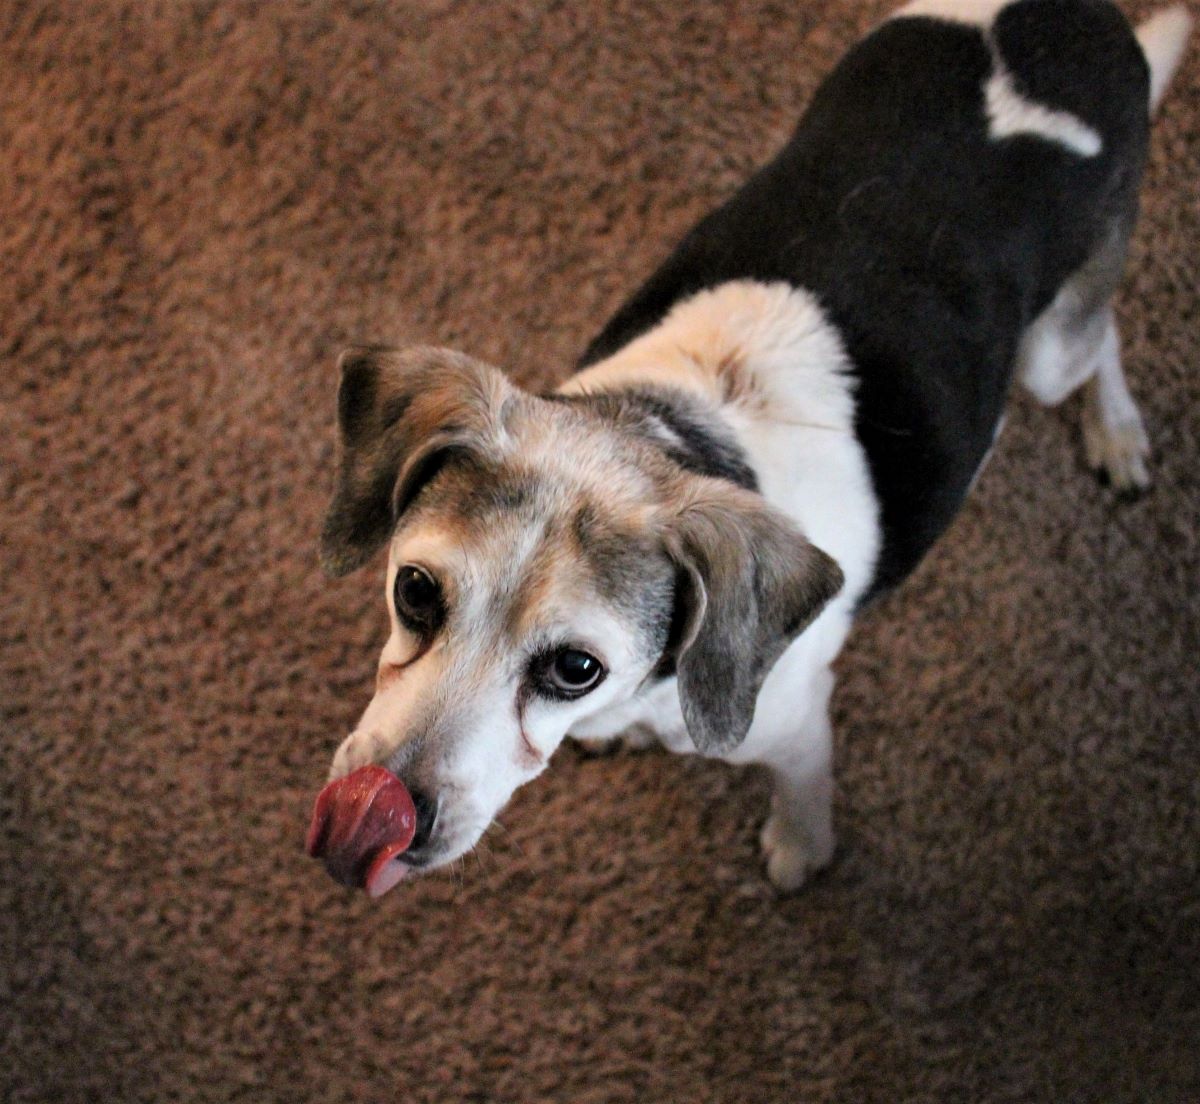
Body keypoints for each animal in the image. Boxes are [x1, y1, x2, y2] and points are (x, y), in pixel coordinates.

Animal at [309, 0, 1190, 892]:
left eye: (575, 668)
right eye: (415, 591)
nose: (373, 814)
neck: (674, 426)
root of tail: (1076, 16)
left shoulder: (795, 726)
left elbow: (804, 795)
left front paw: (801, 849)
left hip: (1051, 355)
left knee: (1102, 338)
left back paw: (1117, 433)